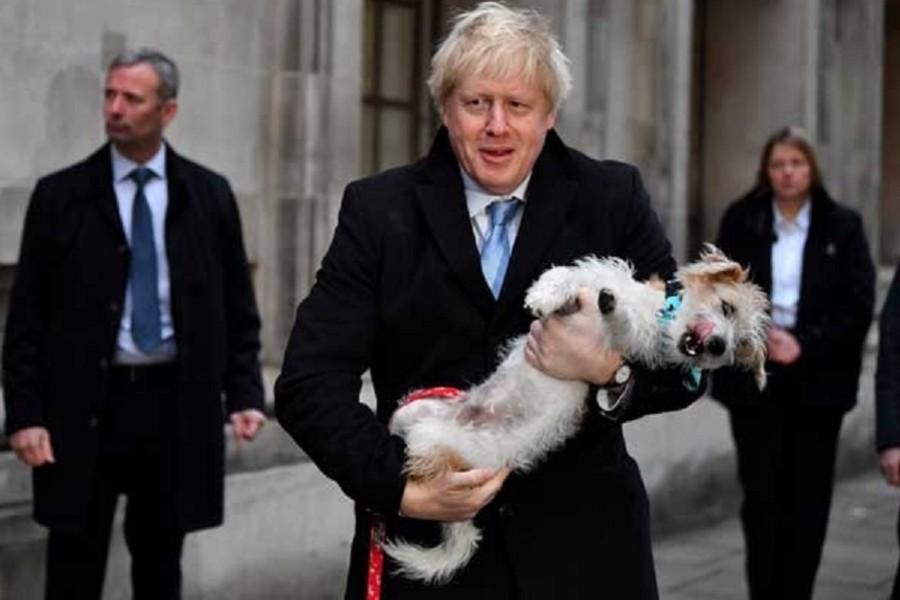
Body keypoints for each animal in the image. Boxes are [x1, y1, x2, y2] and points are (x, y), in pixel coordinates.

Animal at [384, 244, 768, 580]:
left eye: (737, 347)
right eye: (728, 308)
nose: (718, 346)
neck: (656, 313)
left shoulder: (629, 347)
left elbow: (622, 327)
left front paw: (613, 309)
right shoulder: (595, 277)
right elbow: (567, 274)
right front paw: (545, 294)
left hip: (440, 440)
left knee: (419, 454)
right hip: (414, 407)